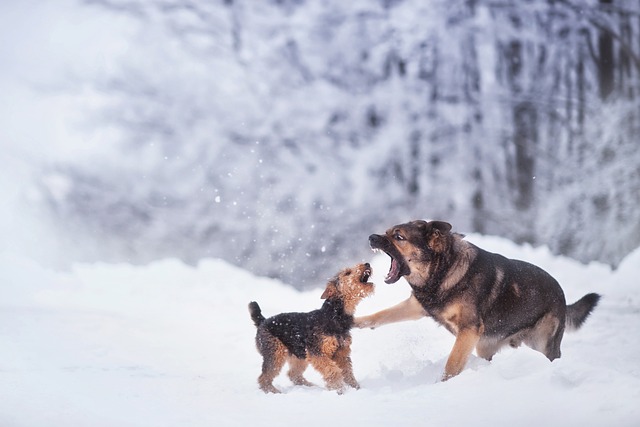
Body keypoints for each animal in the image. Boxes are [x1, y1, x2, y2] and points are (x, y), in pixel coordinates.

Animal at [356, 221, 600, 382]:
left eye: (399, 237)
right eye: (386, 232)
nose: (371, 237)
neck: (444, 269)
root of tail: (563, 298)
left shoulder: (469, 329)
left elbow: (452, 364)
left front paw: (442, 385)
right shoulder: (417, 307)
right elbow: (381, 315)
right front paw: (354, 321)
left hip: (541, 343)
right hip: (485, 346)